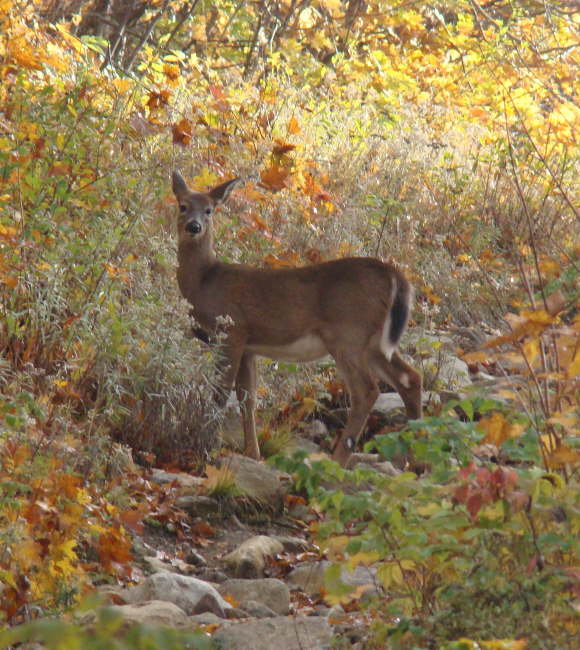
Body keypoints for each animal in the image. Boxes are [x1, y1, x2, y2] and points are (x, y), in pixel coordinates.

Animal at [171, 170, 422, 467]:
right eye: (183, 205)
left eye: (209, 210)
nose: (194, 226)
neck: (204, 281)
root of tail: (394, 275)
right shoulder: (249, 346)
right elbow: (247, 399)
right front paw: (254, 454)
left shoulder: (232, 330)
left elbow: (221, 394)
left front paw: (209, 446)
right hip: (374, 343)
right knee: (410, 378)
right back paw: (415, 458)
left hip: (348, 334)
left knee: (367, 391)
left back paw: (338, 460)